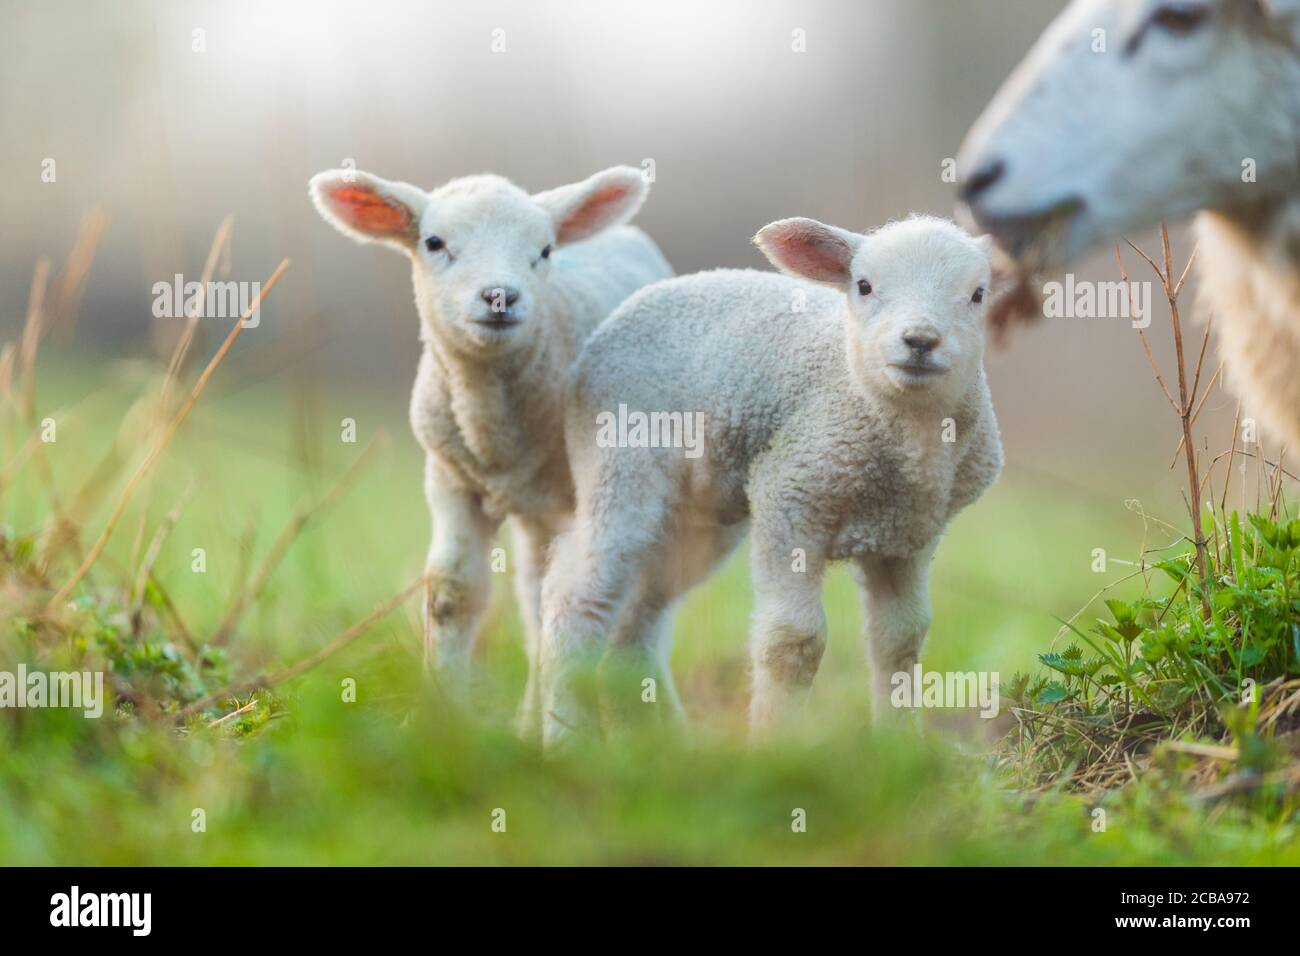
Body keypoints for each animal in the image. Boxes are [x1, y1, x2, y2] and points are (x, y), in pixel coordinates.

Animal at [308, 165, 672, 725]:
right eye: (434, 242)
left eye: (544, 249)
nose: (500, 296)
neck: (495, 434)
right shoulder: (450, 479)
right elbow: (455, 593)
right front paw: (445, 712)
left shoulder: (581, 497)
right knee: (532, 597)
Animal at [538, 215, 1004, 747]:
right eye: (863, 286)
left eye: (978, 294)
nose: (921, 341)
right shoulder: (791, 496)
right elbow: (793, 640)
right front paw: (775, 745)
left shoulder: (908, 537)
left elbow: (901, 640)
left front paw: (899, 746)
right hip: (619, 467)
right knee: (577, 597)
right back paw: (565, 735)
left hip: (696, 519)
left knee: (638, 620)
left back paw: (665, 738)